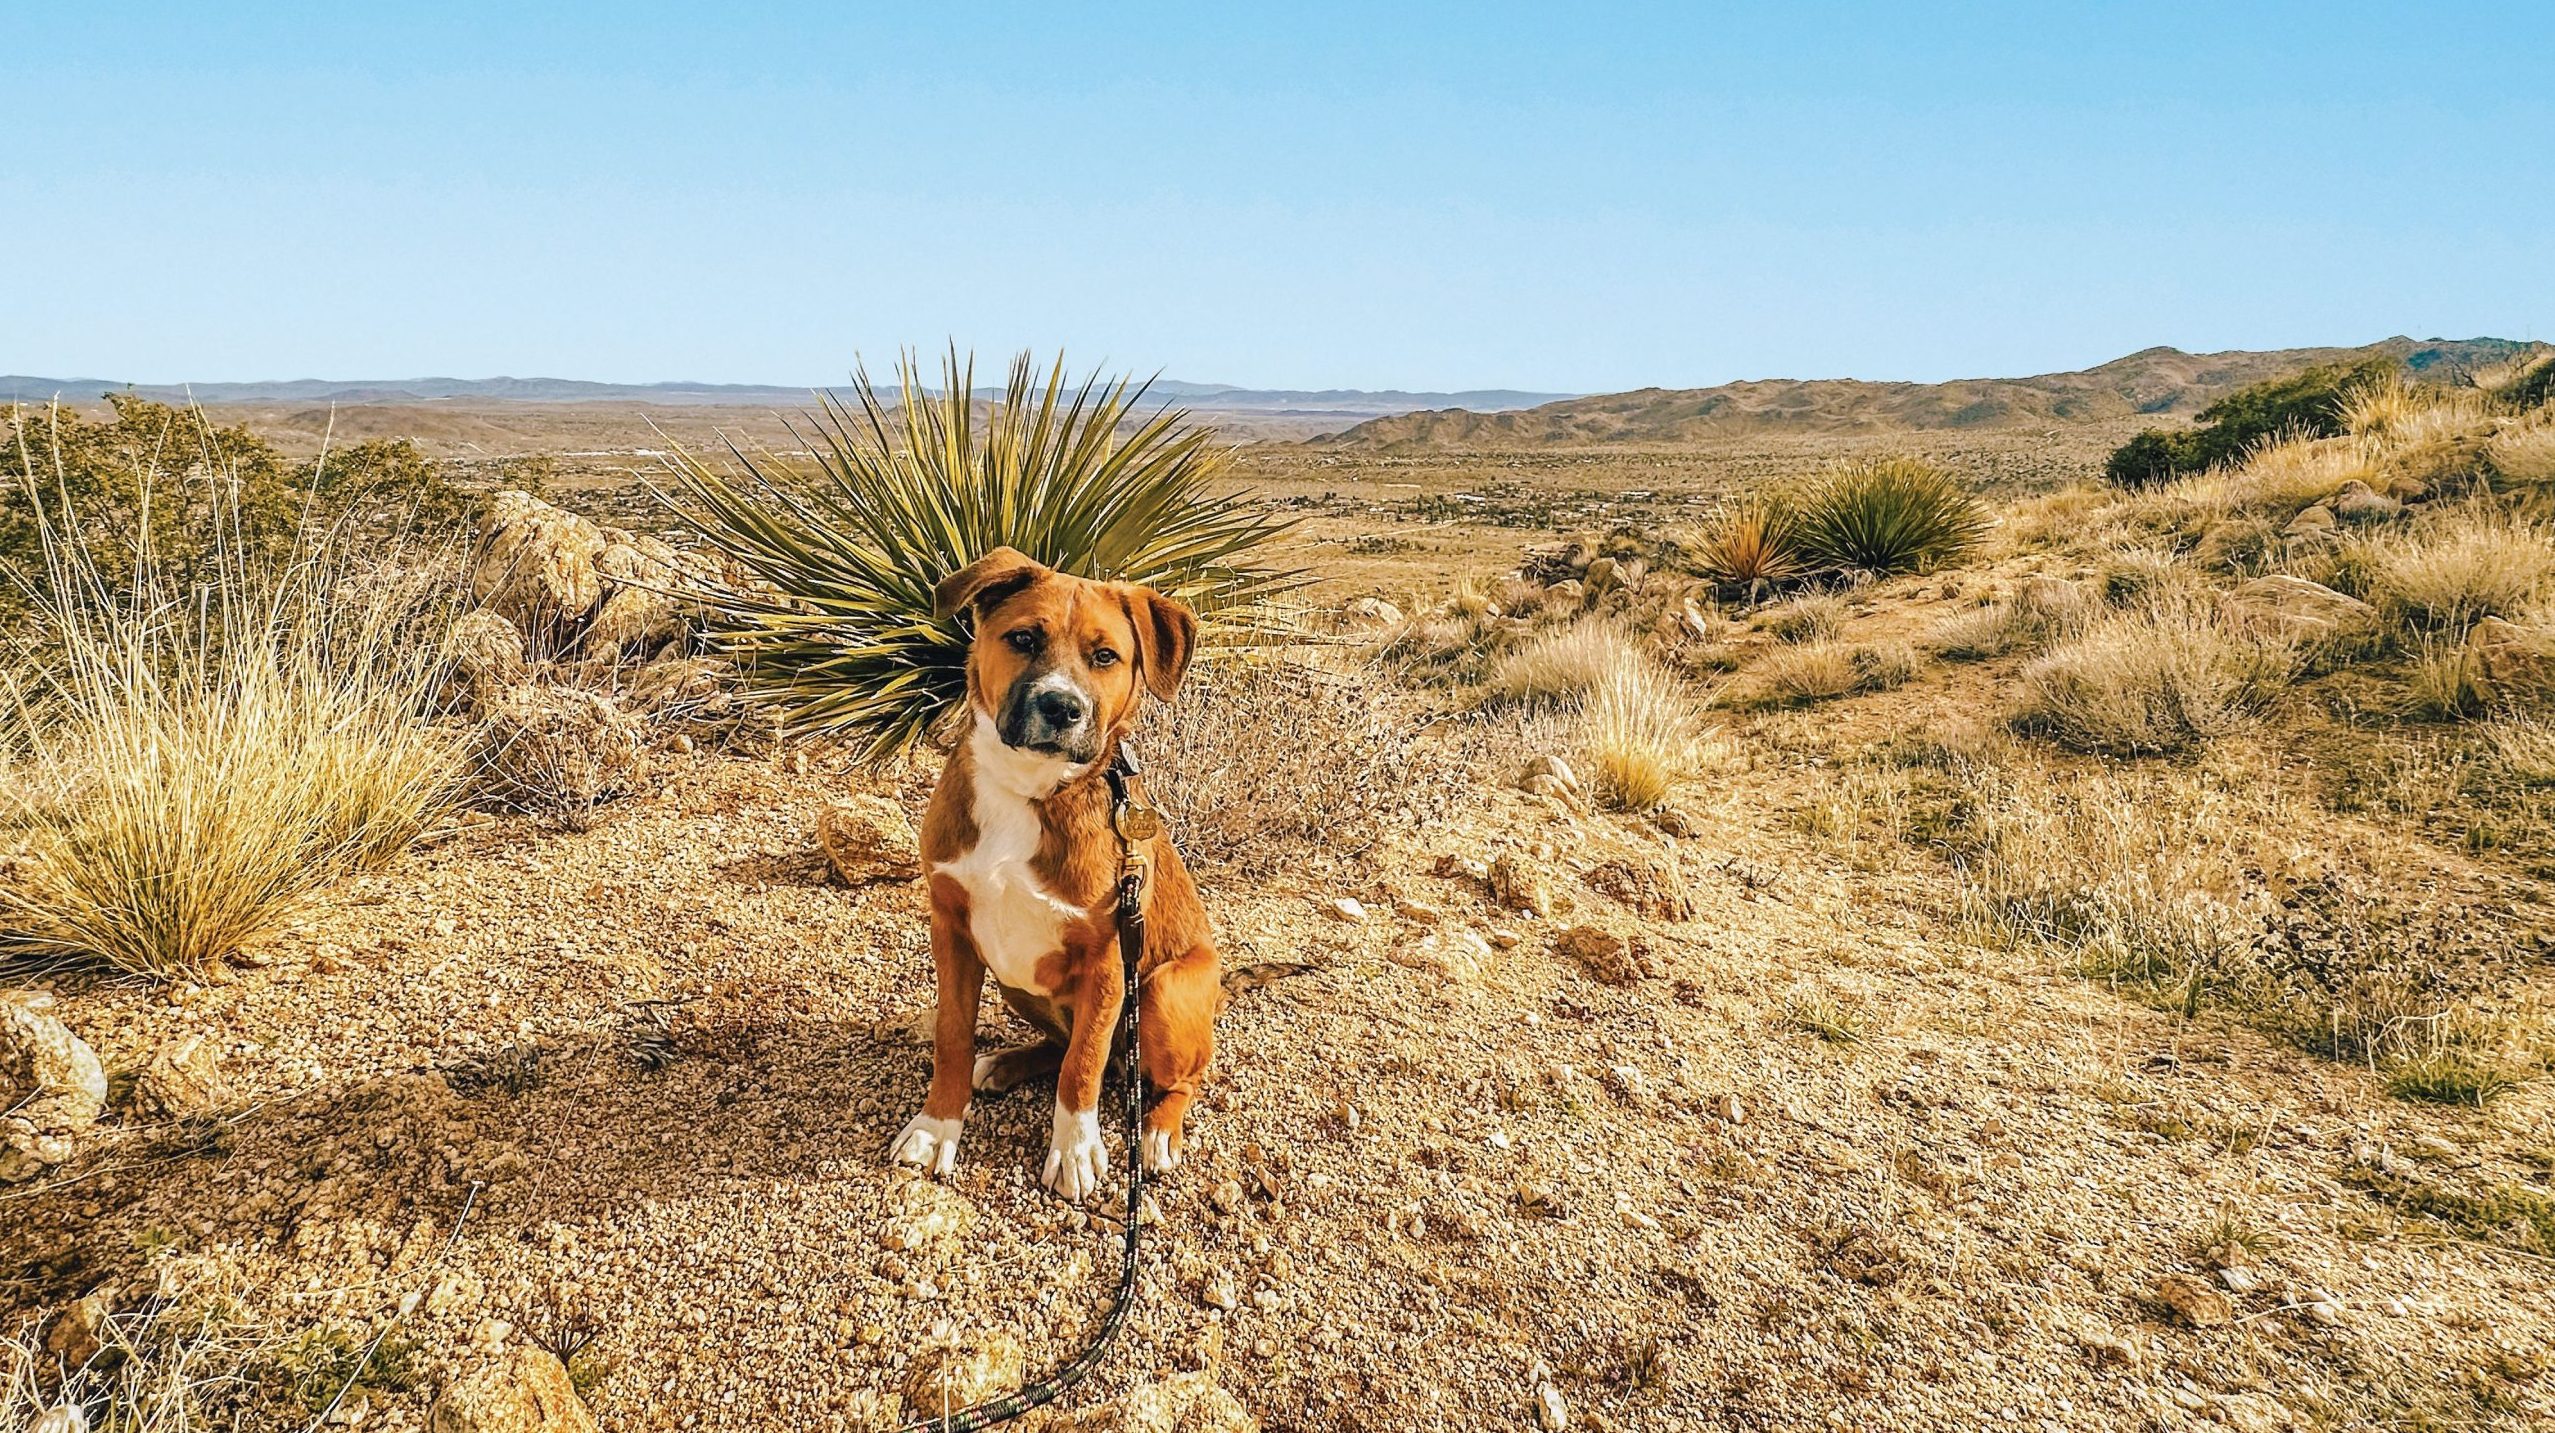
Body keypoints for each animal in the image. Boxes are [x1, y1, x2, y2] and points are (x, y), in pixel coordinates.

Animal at [889, 546, 1226, 1195]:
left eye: (1105, 657)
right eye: (1023, 638)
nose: (1061, 707)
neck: (1027, 789)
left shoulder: (1108, 959)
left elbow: (1084, 1063)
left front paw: (1074, 1150)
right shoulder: (953, 931)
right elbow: (952, 1036)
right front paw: (937, 1126)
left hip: (1163, 990)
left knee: (1175, 1078)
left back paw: (1158, 1131)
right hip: (1016, 981)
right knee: (1062, 1043)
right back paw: (1006, 1061)